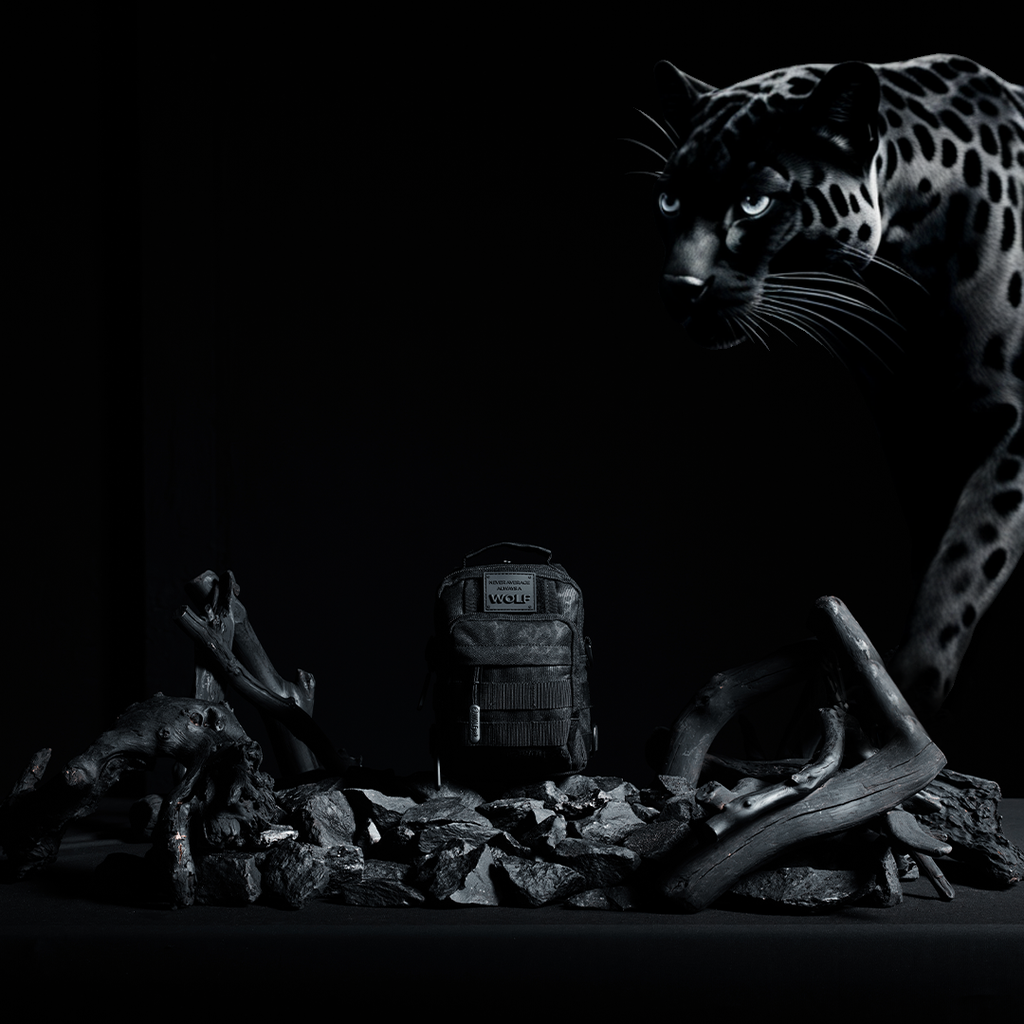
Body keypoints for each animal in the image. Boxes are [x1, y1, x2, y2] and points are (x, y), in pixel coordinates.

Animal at [631, 54, 1023, 721]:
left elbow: (966, 557)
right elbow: (936, 553)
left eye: (754, 203)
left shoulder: (1012, 428)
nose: (679, 287)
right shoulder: (916, 438)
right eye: (669, 199)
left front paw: (906, 693)